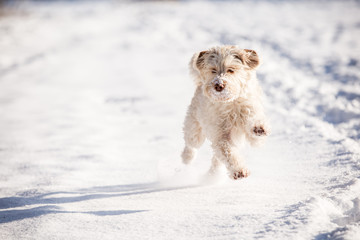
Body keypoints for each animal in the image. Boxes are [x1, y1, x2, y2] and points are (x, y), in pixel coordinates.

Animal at [181, 45, 268, 180]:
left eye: (231, 70)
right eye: (213, 70)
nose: (219, 85)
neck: (231, 104)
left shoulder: (250, 110)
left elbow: (253, 119)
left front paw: (258, 127)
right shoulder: (220, 136)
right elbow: (228, 153)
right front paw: (239, 171)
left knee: (216, 160)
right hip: (194, 127)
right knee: (191, 144)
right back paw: (187, 158)